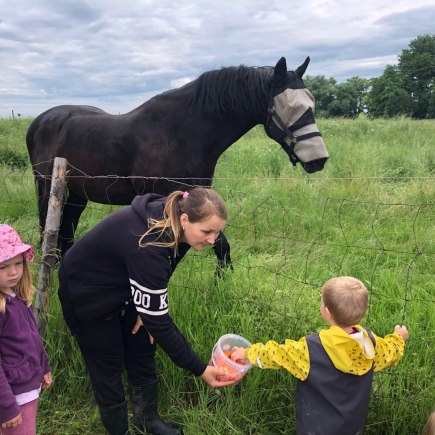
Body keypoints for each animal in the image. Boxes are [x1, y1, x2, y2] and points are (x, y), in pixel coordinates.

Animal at [25, 56, 328, 270]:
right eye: (290, 107)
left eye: (312, 104)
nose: (319, 159)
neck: (180, 133)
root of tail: (40, 120)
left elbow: (217, 246)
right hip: (46, 187)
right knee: (48, 228)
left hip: (78, 193)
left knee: (67, 229)